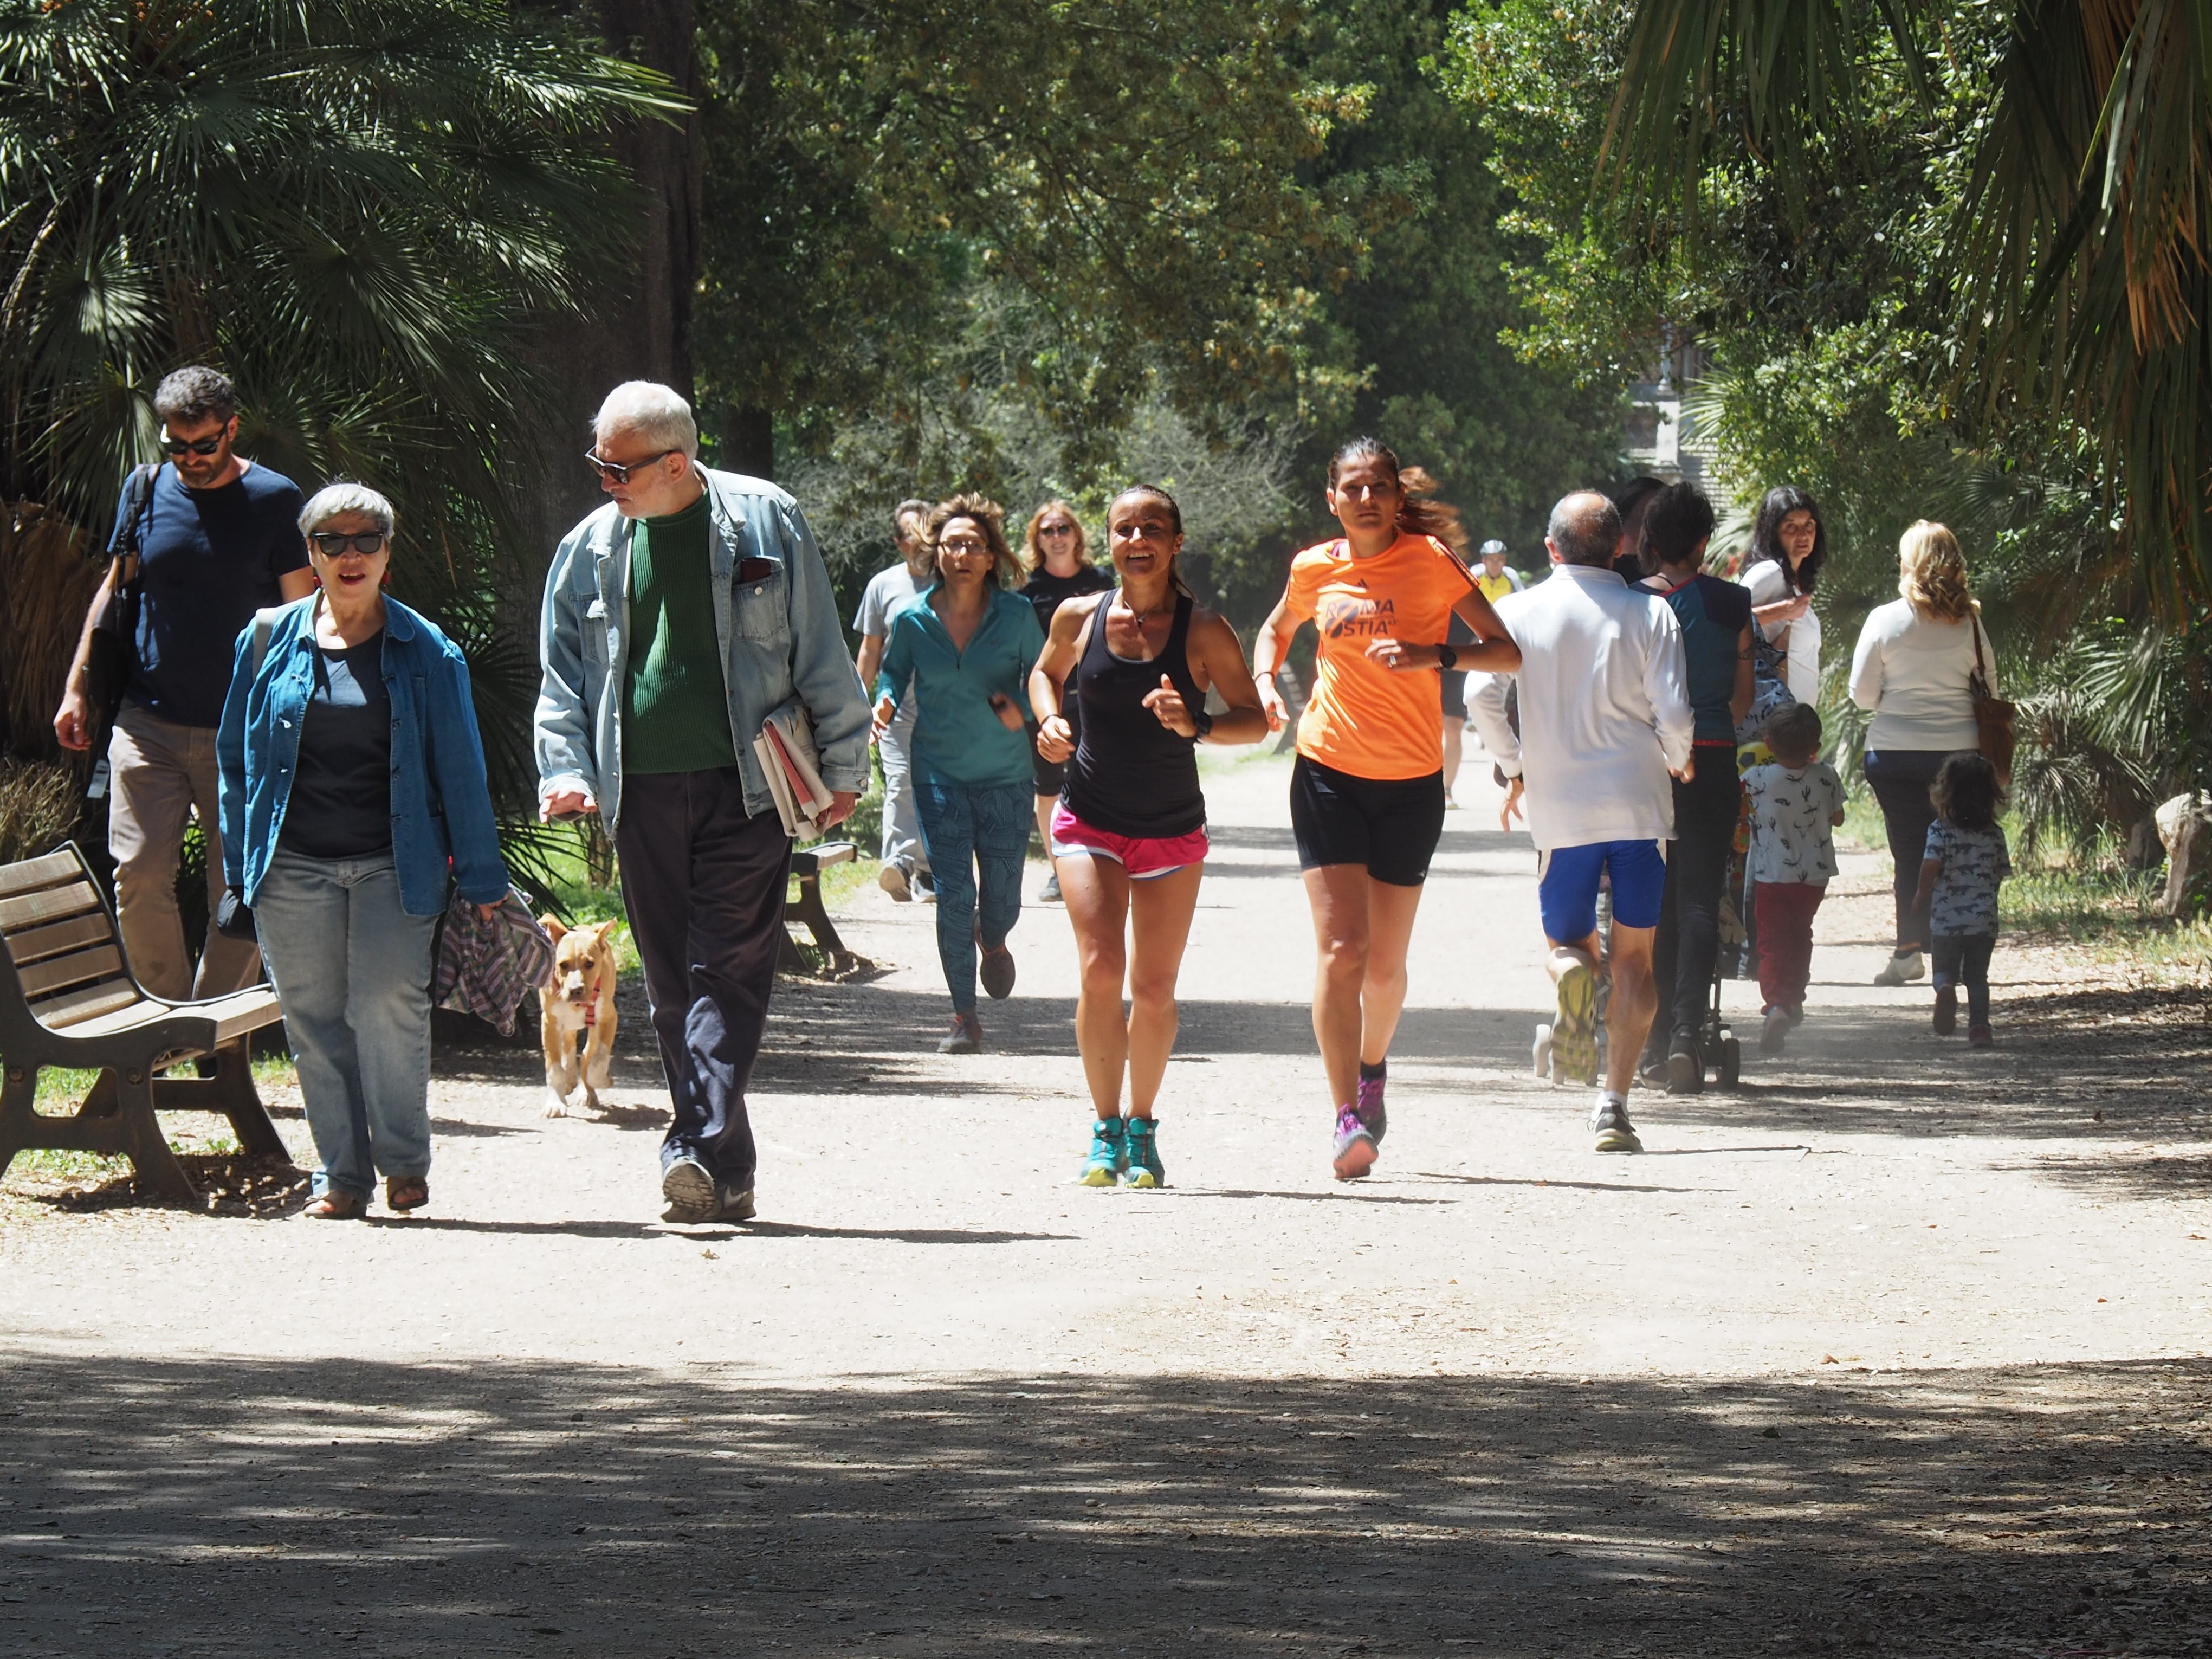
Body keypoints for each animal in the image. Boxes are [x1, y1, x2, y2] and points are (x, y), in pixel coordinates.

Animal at [544, 924, 624, 1119]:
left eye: (590, 964)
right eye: (563, 965)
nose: (576, 990)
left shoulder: (608, 1019)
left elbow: (597, 1059)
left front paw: (601, 1081)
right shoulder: (550, 1022)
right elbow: (554, 1067)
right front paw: (555, 1103)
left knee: (587, 1055)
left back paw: (585, 1092)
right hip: (566, 1027)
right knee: (569, 1047)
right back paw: (569, 1081)